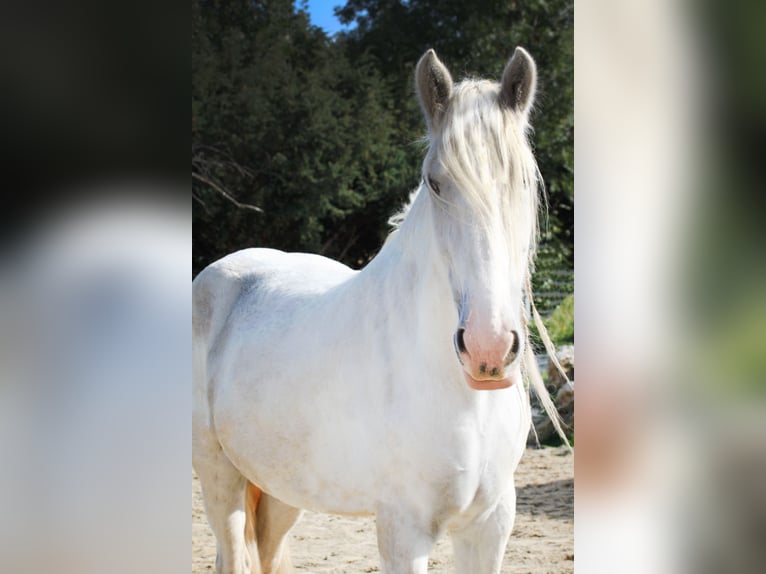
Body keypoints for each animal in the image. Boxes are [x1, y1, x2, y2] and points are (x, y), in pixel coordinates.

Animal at [194, 47, 564, 572]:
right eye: (435, 183)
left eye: (525, 180)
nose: (488, 348)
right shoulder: (403, 531)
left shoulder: (491, 525)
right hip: (219, 477)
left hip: (281, 490)